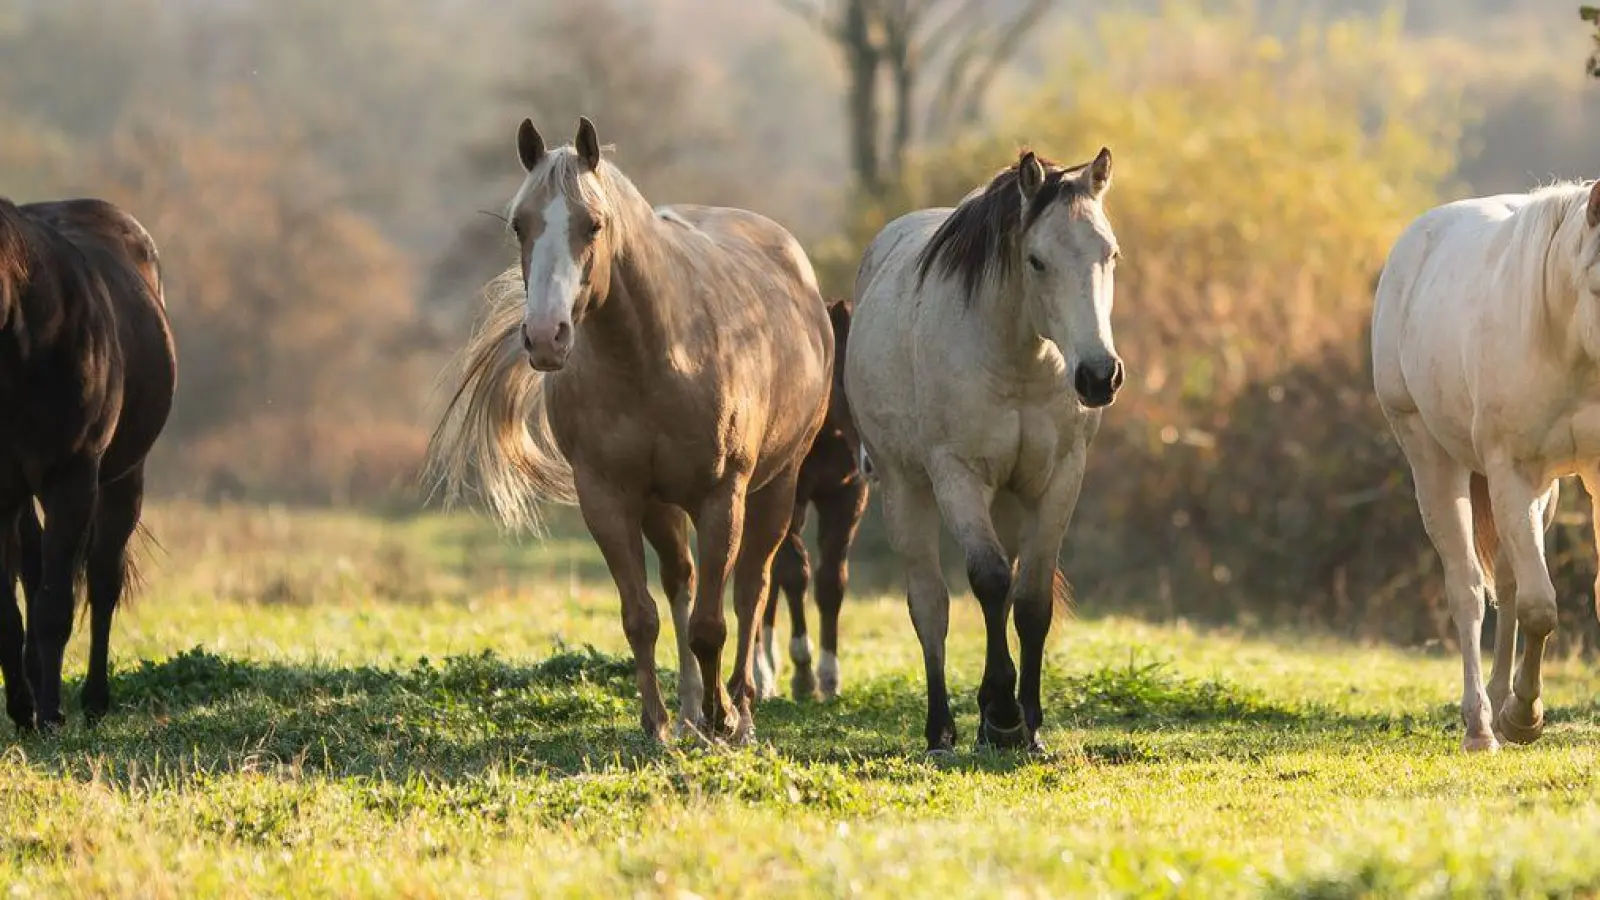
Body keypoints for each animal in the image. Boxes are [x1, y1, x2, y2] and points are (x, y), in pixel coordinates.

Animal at [0, 197, 176, 730]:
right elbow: (10, 610)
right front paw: (23, 707)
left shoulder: (73, 480)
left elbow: (56, 606)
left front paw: (51, 715)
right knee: (34, 566)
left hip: (123, 480)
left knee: (101, 580)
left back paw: (95, 699)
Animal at [425, 119, 838, 743]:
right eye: (519, 224)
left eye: (593, 224)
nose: (545, 337)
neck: (658, 354)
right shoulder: (609, 496)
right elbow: (642, 615)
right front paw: (659, 724)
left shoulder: (722, 497)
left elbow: (714, 622)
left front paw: (723, 717)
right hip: (661, 505)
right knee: (681, 581)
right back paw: (692, 713)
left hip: (775, 486)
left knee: (750, 590)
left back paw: (739, 710)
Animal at [752, 296, 870, 701]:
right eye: (842, 378)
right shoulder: (789, 499)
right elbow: (794, 573)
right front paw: (802, 672)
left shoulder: (847, 496)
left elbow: (831, 580)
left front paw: (829, 676)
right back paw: (762, 674)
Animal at [844, 147, 1120, 749]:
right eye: (1036, 261)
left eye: (1111, 254)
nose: (1098, 376)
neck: (1019, 360)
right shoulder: (957, 474)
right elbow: (990, 580)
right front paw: (1001, 711)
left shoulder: (1059, 478)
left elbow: (1032, 599)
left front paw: (1027, 725)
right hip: (906, 489)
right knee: (930, 605)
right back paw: (940, 729)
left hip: (1011, 500)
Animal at [1369, 178, 1600, 752]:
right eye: (1598, 288)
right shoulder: (1510, 471)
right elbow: (1541, 606)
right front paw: (1523, 718)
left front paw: (1518, 707)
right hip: (1435, 461)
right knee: (1469, 589)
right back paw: (1482, 725)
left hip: (1540, 492)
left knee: (1511, 585)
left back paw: (1497, 700)